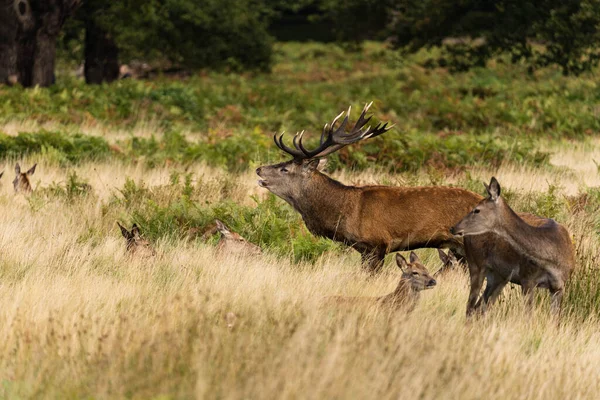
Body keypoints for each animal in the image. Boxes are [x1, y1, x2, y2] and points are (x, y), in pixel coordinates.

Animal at [450, 178, 576, 316]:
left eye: (476, 210)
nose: (454, 228)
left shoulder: (559, 286)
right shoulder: (527, 279)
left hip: (498, 276)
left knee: (480, 307)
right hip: (475, 264)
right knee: (470, 307)